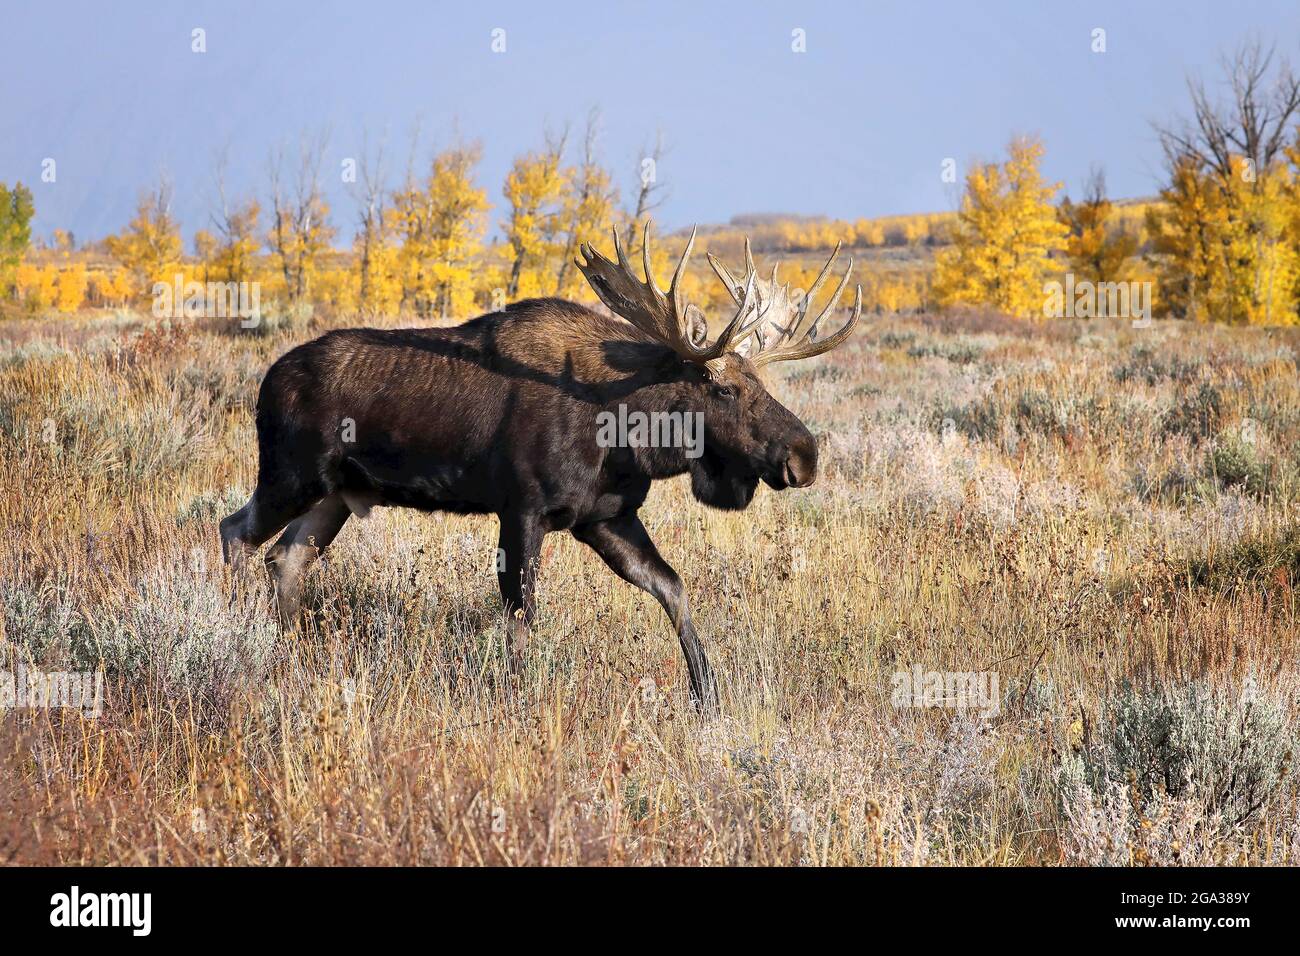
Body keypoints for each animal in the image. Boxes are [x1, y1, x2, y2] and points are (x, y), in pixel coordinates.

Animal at [218, 226, 857, 712]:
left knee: (285, 556)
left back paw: (291, 652)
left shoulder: (604, 517)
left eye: (761, 381)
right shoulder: (523, 509)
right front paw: (523, 696)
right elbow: (523, 614)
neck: (624, 429)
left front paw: (708, 694)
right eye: (723, 388)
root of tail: (267, 382)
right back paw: (237, 637)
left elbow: (673, 588)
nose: (804, 455)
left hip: (337, 494)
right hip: (290, 475)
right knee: (235, 531)